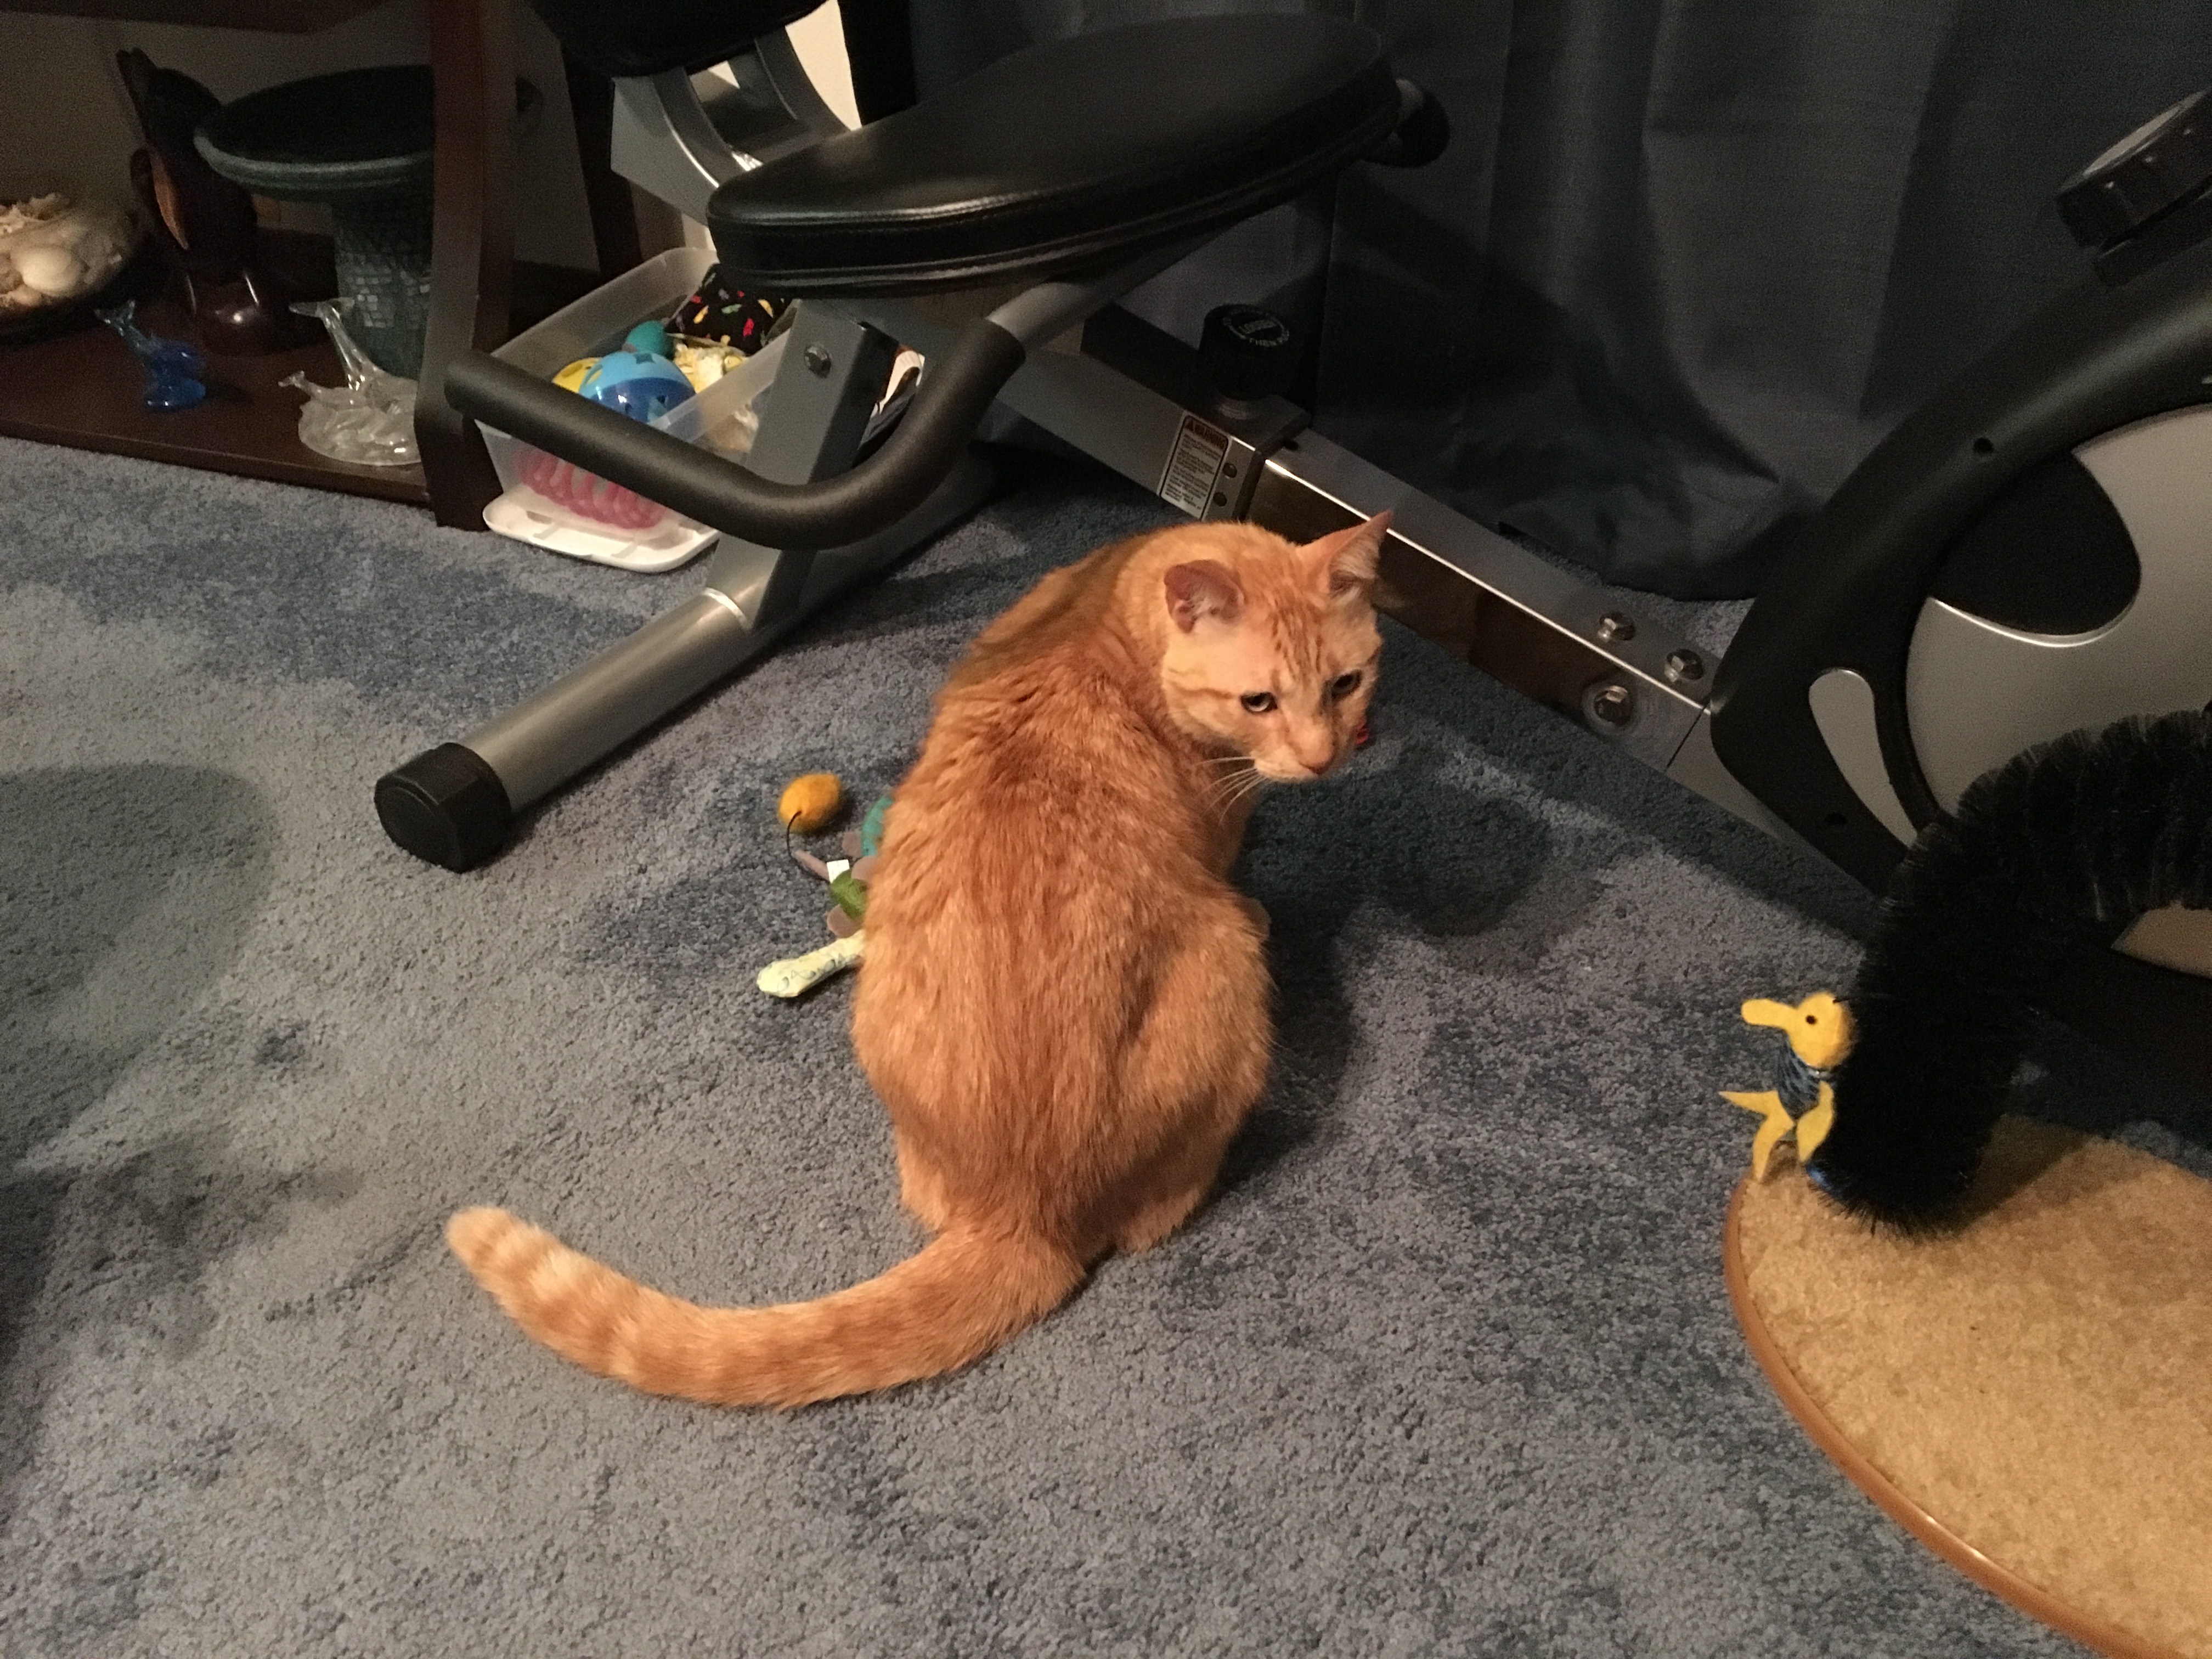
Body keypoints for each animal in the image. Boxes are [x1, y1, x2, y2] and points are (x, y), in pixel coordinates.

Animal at [447, 511, 1391, 1407]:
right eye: (1259, 701)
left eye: (1345, 684)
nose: (1323, 757)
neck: (1108, 619)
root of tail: (1024, 1211)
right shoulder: (1221, 832)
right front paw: (1268, 890)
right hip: (1229, 972)